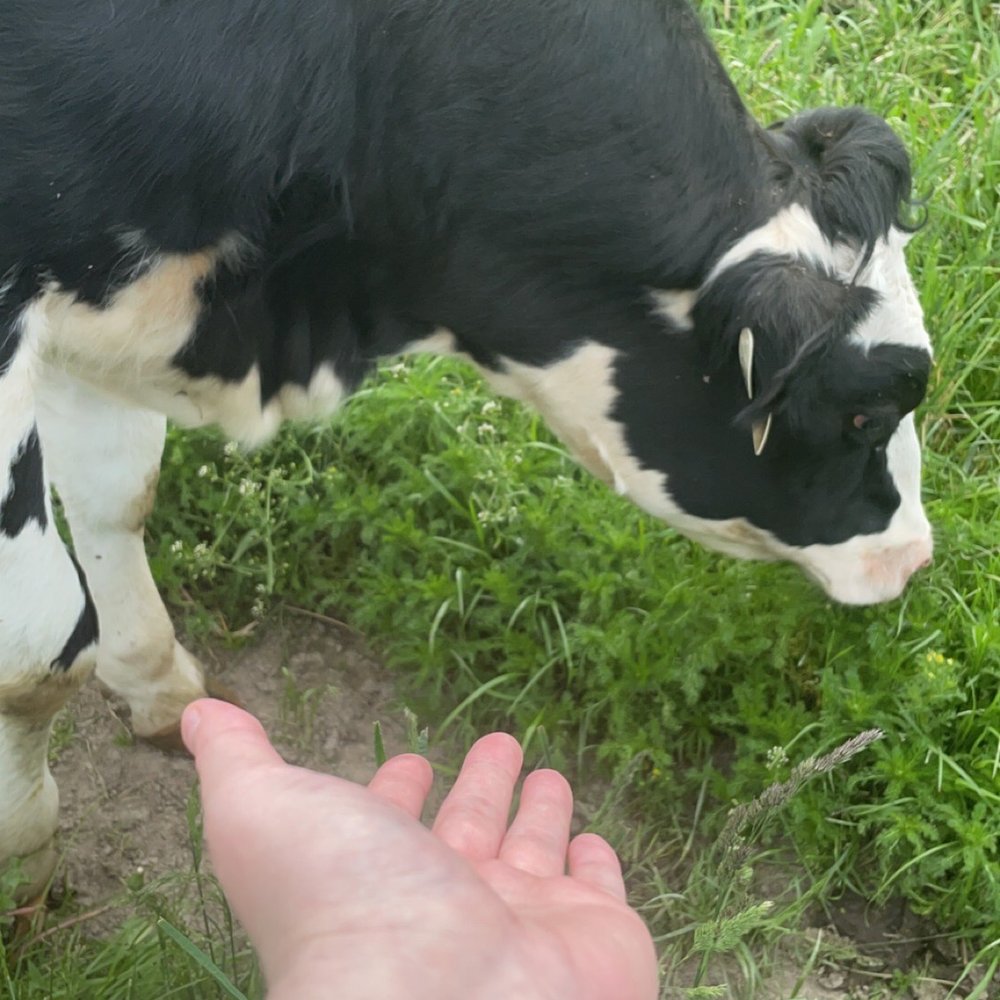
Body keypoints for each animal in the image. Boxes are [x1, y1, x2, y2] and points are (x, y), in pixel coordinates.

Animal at [0, 0, 932, 903]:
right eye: (864, 414)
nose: (916, 556)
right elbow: (37, 648)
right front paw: (22, 863)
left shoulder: (113, 297)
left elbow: (118, 493)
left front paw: (157, 686)